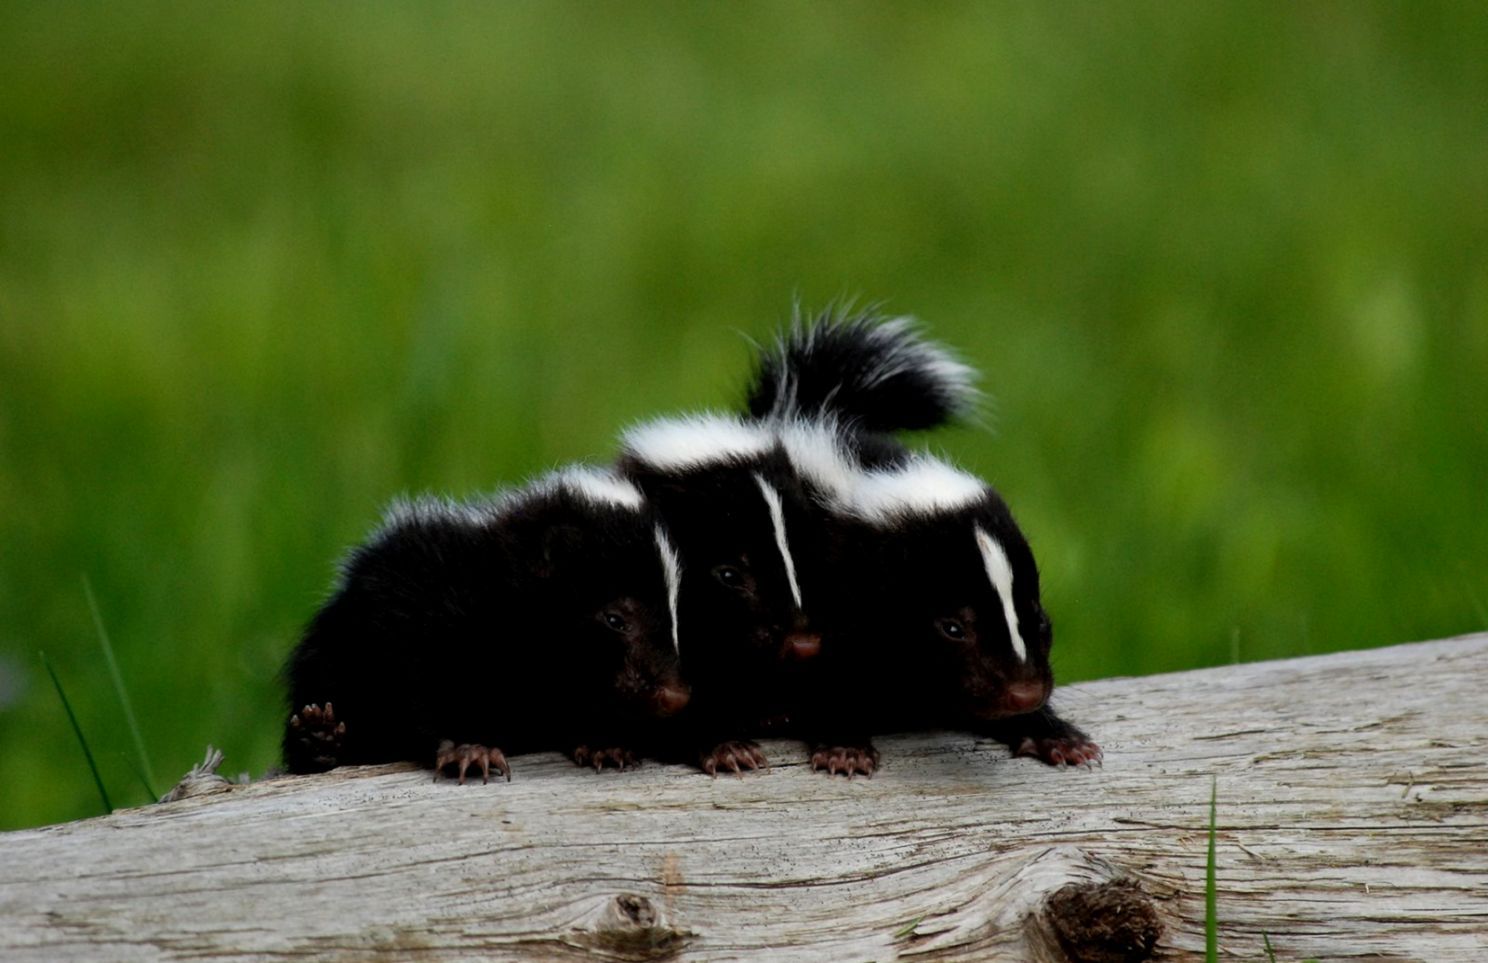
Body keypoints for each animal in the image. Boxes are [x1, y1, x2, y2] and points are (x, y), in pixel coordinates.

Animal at [281, 467, 687, 785]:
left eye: (671, 615)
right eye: (616, 619)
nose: (675, 695)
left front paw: (603, 742)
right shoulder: (418, 612)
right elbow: (424, 683)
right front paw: (469, 749)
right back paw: (321, 738)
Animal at [749, 312, 1101, 779]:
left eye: (1040, 618)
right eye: (952, 628)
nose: (1025, 692)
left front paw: (1056, 736)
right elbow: (826, 672)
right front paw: (844, 745)